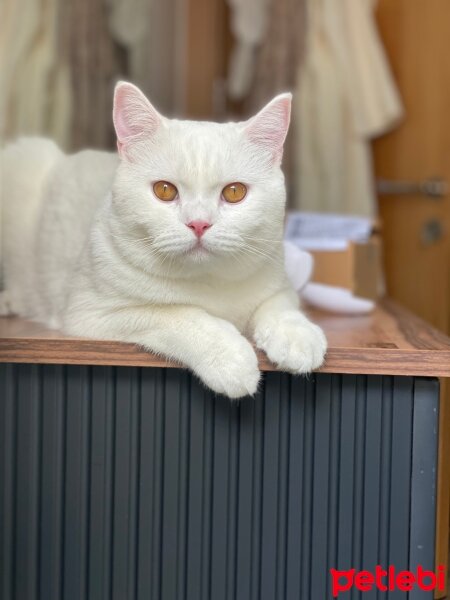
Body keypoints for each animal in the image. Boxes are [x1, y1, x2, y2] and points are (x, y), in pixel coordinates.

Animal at [0, 81, 326, 398]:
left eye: (234, 192)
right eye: (164, 190)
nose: (199, 223)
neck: (208, 282)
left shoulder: (278, 283)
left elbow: (280, 307)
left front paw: (298, 337)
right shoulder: (93, 311)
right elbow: (179, 315)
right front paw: (230, 358)